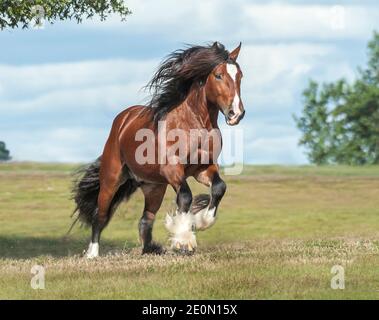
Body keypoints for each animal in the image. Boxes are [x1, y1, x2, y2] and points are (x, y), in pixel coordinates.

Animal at [72, 42, 245, 258]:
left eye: (240, 75)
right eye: (218, 75)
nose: (236, 113)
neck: (194, 124)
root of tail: (123, 119)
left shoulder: (203, 168)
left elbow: (219, 187)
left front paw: (199, 222)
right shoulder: (172, 169)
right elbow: (185, 196)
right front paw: (184, 240)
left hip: (154, 187)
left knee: (146, 219)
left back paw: (150, 249)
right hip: (112, 179)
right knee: (101, 215)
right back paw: (92, 253)